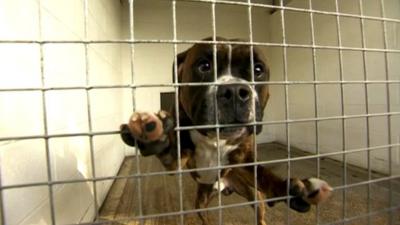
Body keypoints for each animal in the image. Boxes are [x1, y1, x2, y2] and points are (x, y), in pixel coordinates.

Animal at [119, 37, 332, 225]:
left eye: (258, 69)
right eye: (204, 66)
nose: (235, 91)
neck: (214, 139)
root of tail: (225, 185)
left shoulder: (245, 158)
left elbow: (264, 174)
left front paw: (287, 187)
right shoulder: (176, 162)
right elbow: (170, 154)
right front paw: (153, 134)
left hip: (254, 195)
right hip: (202, 200)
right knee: (204, 216)